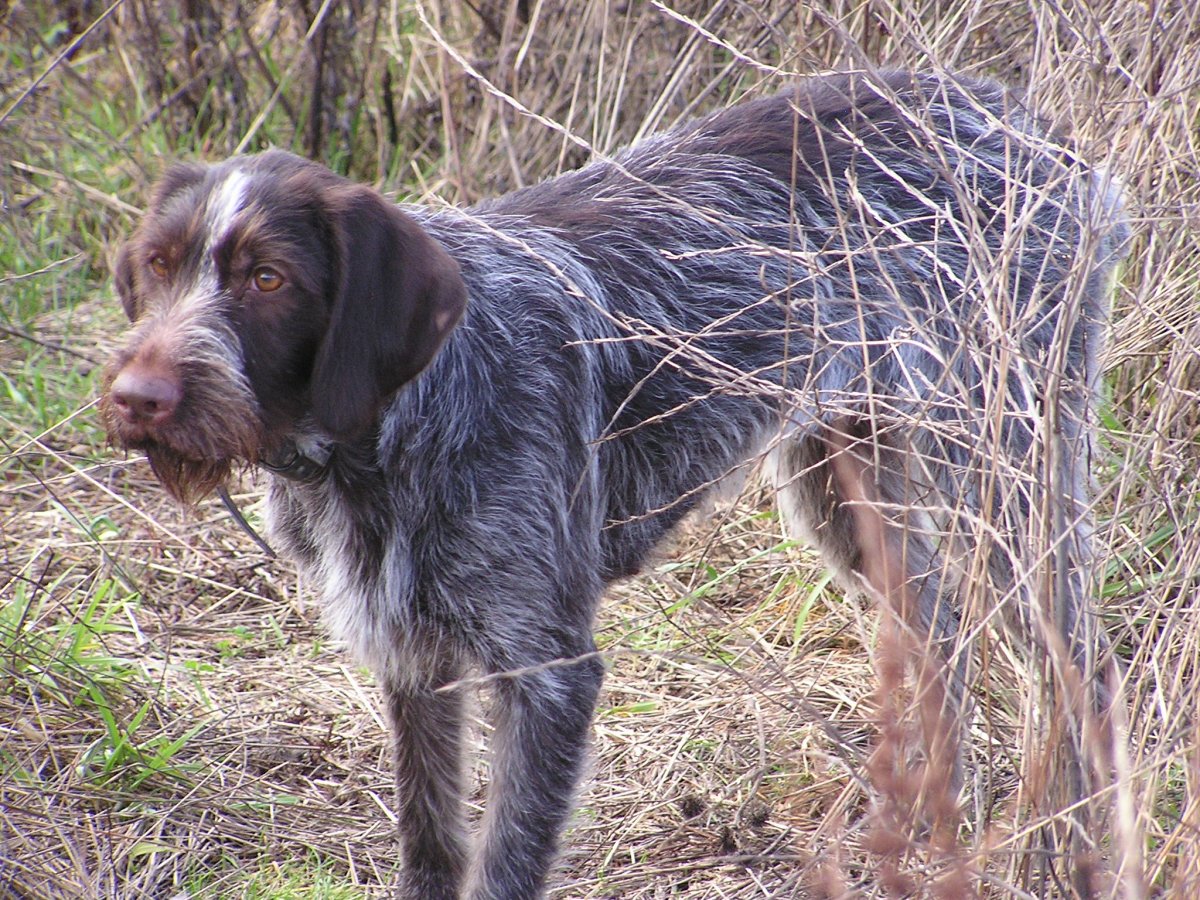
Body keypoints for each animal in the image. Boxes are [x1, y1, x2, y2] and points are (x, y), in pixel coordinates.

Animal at [100, 72, 1123, 900]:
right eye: (158, 263)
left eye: (269, 279)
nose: (137, 397)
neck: (381, 438)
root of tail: (1048, 139)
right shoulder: (415, 658)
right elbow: (432, 840)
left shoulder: (547, 673)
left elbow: (506, 861)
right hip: (847, 482)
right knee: (941, 635)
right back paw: (931, 830)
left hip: (1004, 471)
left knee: (1083, 665)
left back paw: (1079, 845)